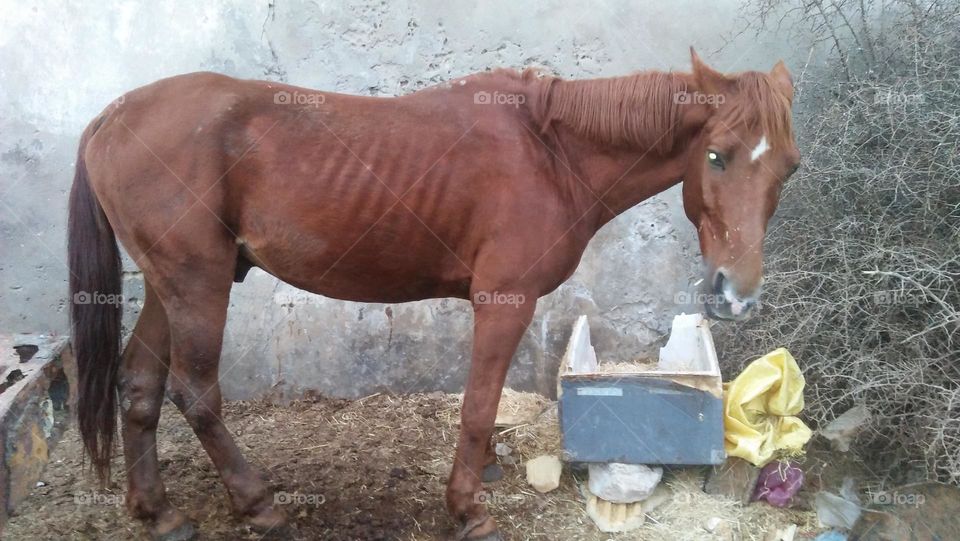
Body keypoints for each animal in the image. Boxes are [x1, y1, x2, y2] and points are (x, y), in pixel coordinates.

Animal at [67, 48, 800, 536]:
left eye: (789, 167)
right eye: (717, 156)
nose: (736, 294)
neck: (550, 151)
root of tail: (111, 116)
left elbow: (488, 403)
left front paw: (488, 471)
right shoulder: (505, 300)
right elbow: (476, 406)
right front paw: (467, 506)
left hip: (170, 285)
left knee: (139, 386)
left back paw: (158, 512)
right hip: (198, 284)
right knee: (195, 394)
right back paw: (258, 503)